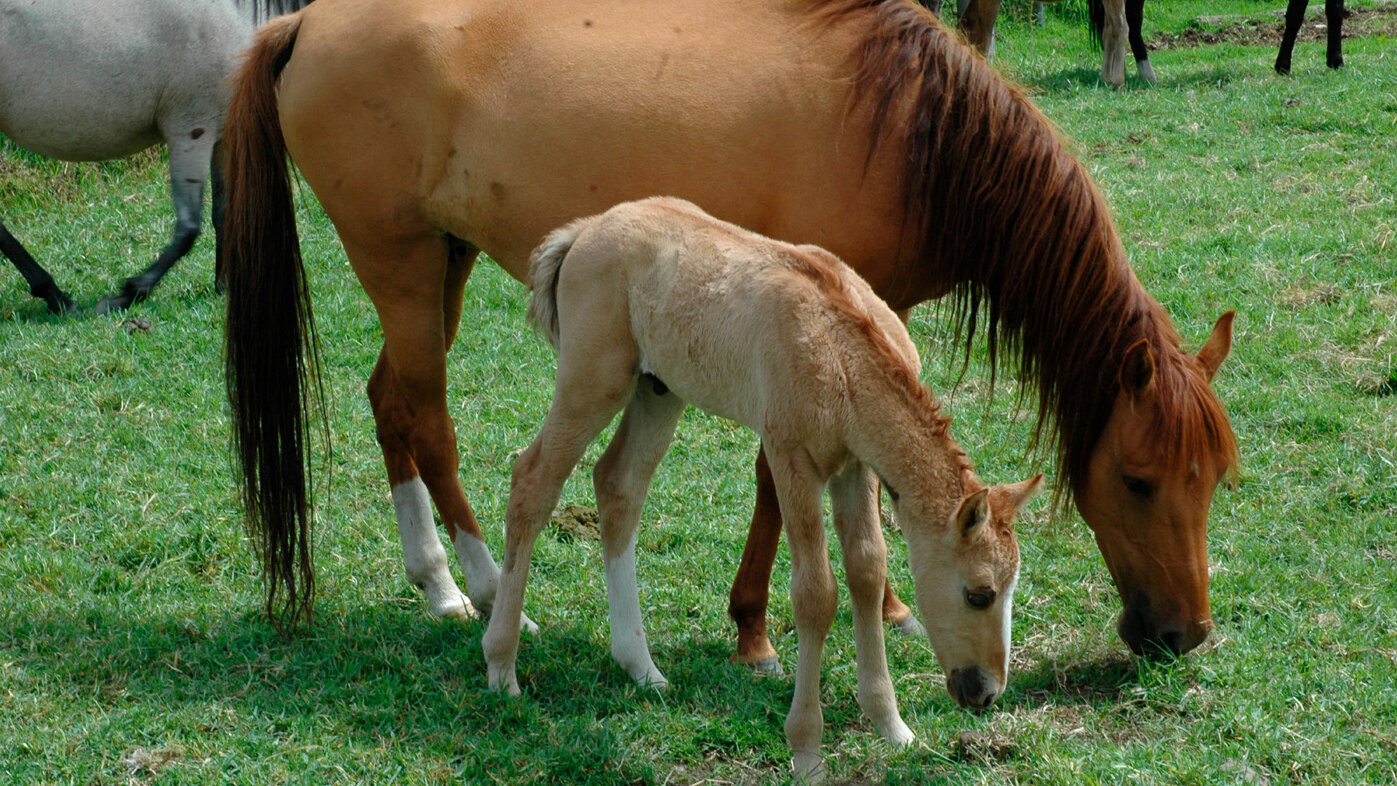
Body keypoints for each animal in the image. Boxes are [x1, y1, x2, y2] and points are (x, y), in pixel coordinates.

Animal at [0, 0, 311, 314]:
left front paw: (224, 285)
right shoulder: (192, 131)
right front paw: (129, 293)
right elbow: (188, 227)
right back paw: (55, 294)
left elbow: (223, 213)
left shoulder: (224, 136)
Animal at [480, 195, 1039, 781]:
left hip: (658, 391)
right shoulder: (791, 456)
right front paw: (807, 752)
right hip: (593, 380)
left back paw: (641, 667)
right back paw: (501, 666)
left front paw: (891, 725)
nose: (986, 692)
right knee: (533, 481)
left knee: (618, 486)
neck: (841, 353)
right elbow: (816, 594)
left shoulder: (854, 467)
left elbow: (867, 569)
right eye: (979, 594)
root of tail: (586, 229)